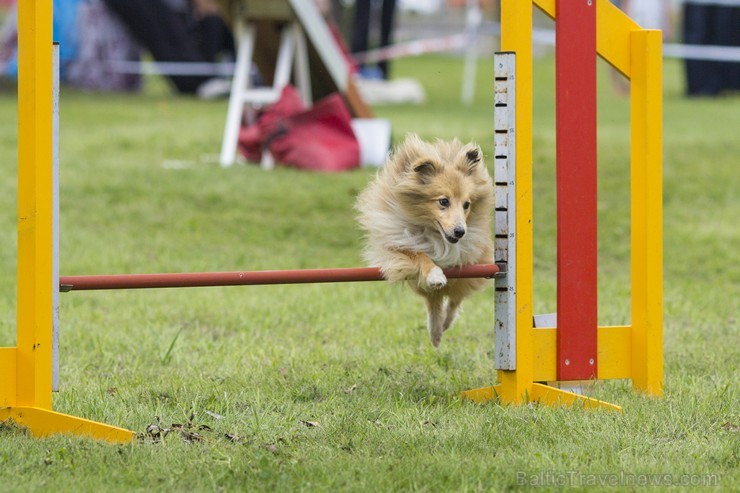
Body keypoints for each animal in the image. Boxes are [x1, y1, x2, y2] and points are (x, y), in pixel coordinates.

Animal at [356, 132, 494, 346]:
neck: (432, 231)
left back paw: (444, 324)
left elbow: (455, 293)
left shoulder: (471, 259)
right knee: (434, 302)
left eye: (467, 204)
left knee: (454, 300)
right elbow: (419, 255)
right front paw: (435, 274)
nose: (460, 232)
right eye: (443, 201)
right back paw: (436, 331)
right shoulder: (398, 244)